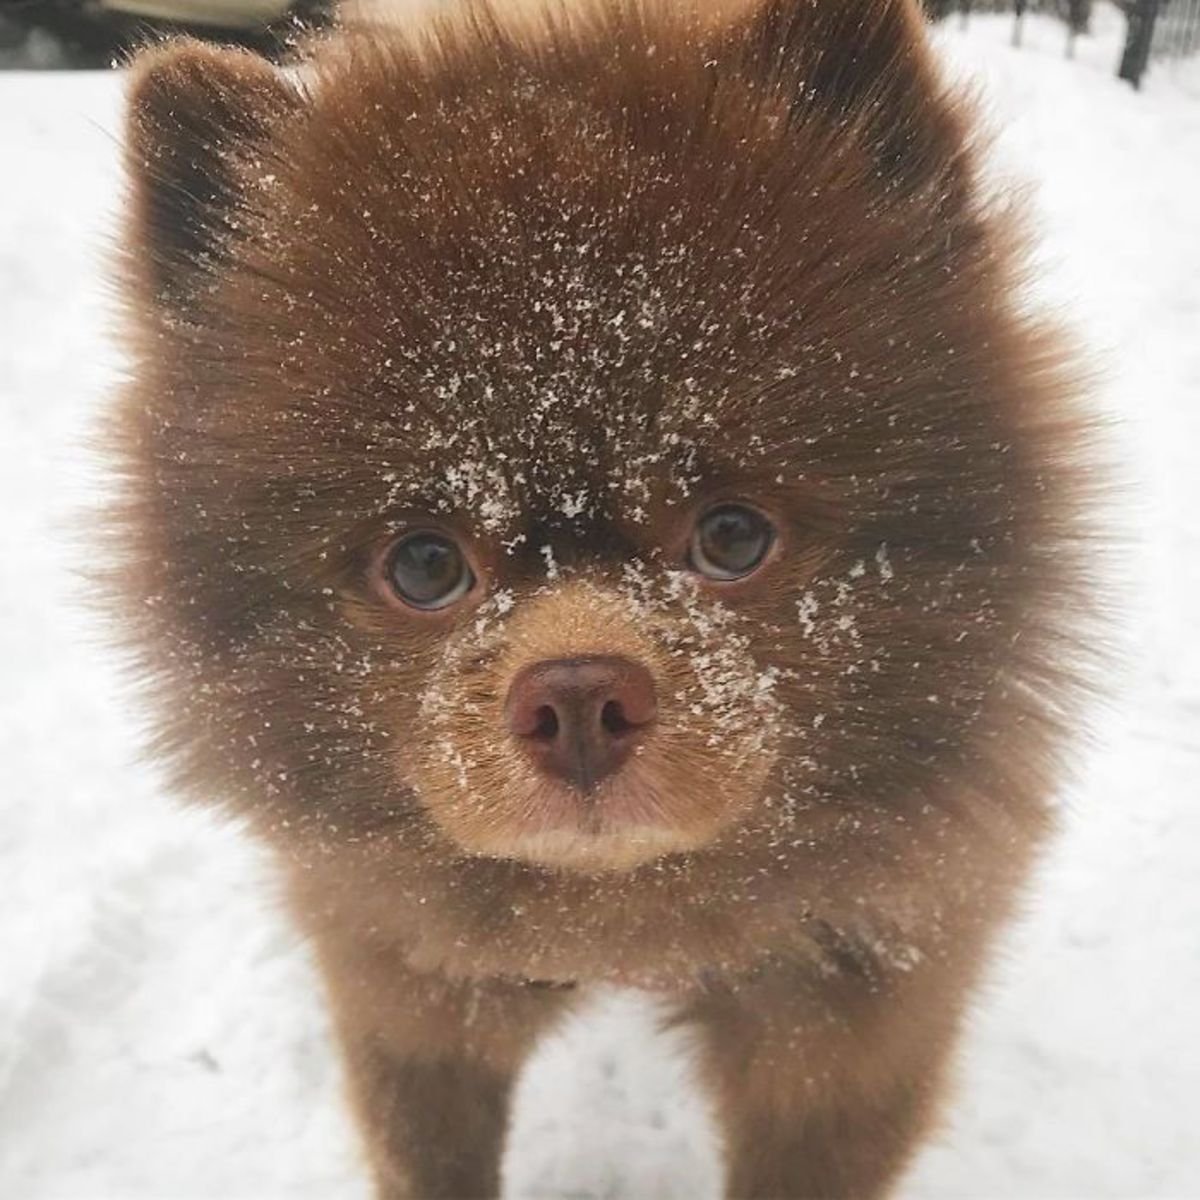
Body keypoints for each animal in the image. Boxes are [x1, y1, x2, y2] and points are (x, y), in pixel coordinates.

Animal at [108, 0, 1099, 1195]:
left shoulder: (844, 1025)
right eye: (425, 566)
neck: (625, 924)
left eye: (731, 535)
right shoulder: (411, 993)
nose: (578, 693)